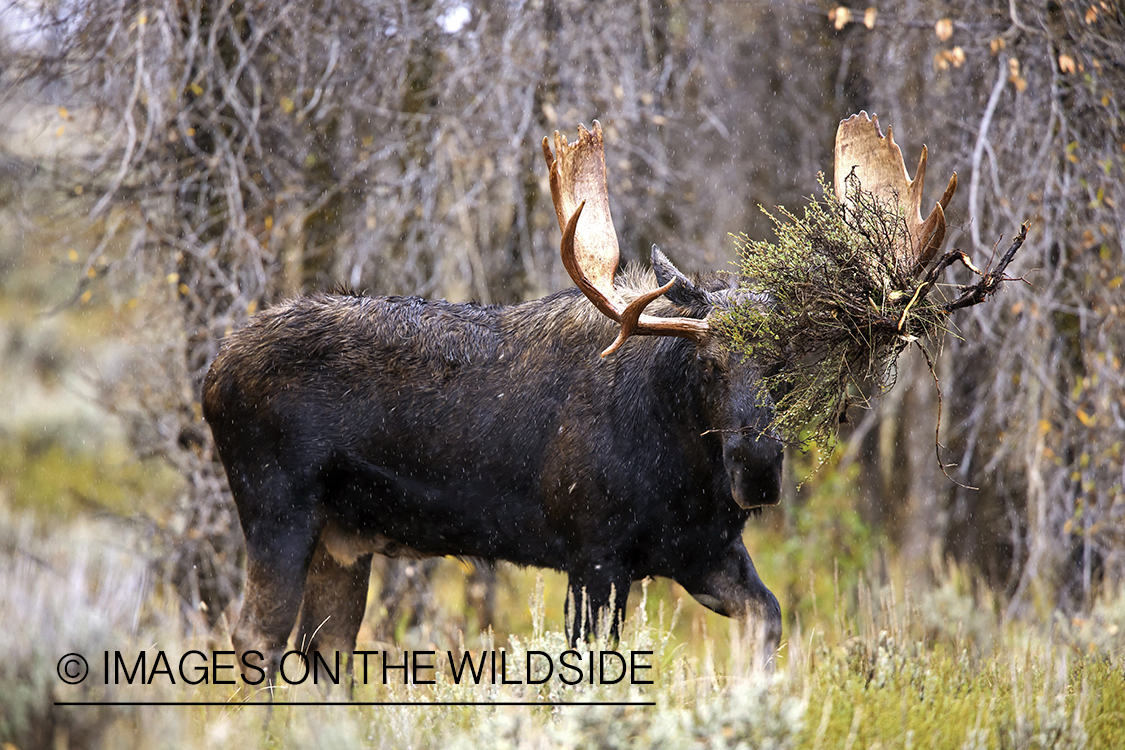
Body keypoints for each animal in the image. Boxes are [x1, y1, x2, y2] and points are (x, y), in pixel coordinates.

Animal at [207, 115, 954, 679]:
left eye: (783, 366)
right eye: (709, 363)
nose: (758, 468)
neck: (683, 474)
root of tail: (212, 372)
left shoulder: (703, 552)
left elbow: (767, 619)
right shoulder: (593, 553)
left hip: (346, 537)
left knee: (324, 651)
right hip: (277, 508)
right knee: (255, 640)